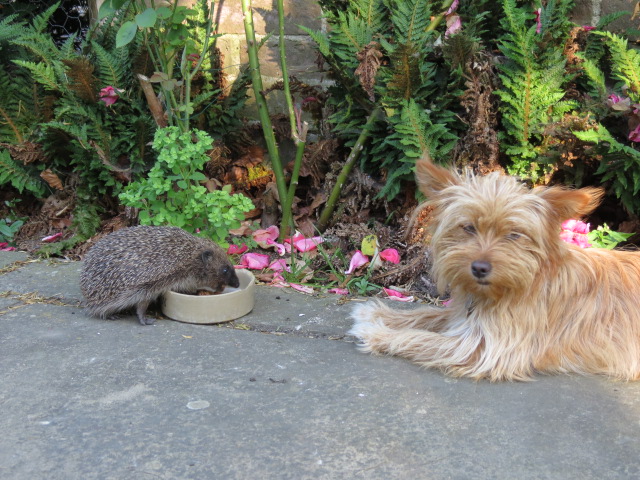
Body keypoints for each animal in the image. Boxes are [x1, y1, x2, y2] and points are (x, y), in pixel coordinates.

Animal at [350, 152, 640, 380]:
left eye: (514, 235)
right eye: (468, 227)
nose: (479, 268)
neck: (528, 280)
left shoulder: (486, 349)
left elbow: (419, 338)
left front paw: (377, 334)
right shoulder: (463, 318)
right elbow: (425, 314)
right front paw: (380, 314)